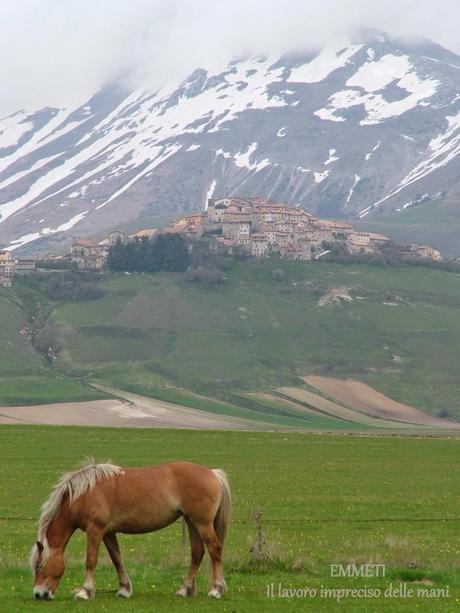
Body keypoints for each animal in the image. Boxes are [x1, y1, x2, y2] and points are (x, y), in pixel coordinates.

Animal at [28, 460, 230, 596]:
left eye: (39, 566)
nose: (38, 594)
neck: (85, 493)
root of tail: (212, 473)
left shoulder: (95, 530)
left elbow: (91, 560)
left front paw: (85, 591)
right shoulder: (108, 533)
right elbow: (117, 559)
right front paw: (124, 589)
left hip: (202, 523)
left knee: (215, 550)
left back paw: (216, 590)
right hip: (191, 522)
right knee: (197, 553)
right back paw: (185, 589)